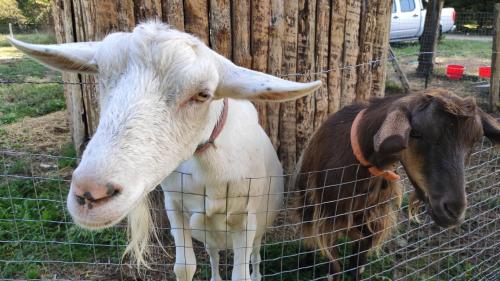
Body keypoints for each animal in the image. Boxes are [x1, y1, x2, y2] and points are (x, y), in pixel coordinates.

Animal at [9, 22, 322, 280]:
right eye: (101, 76)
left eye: (203, 94)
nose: (90, 194)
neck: (207, 169)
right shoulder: (175, 205)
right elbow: (185, 267)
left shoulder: (245, 218)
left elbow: (242, 274)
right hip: (207, 231)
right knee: (214, 254)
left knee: (254, 257)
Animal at [292, 88, 500, 280]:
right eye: (416, 133)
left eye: (474, 141)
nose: (454, 211)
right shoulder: (327, 220)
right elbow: (334, 268)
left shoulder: (373, 216)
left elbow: (361, 255)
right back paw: (306, 263)